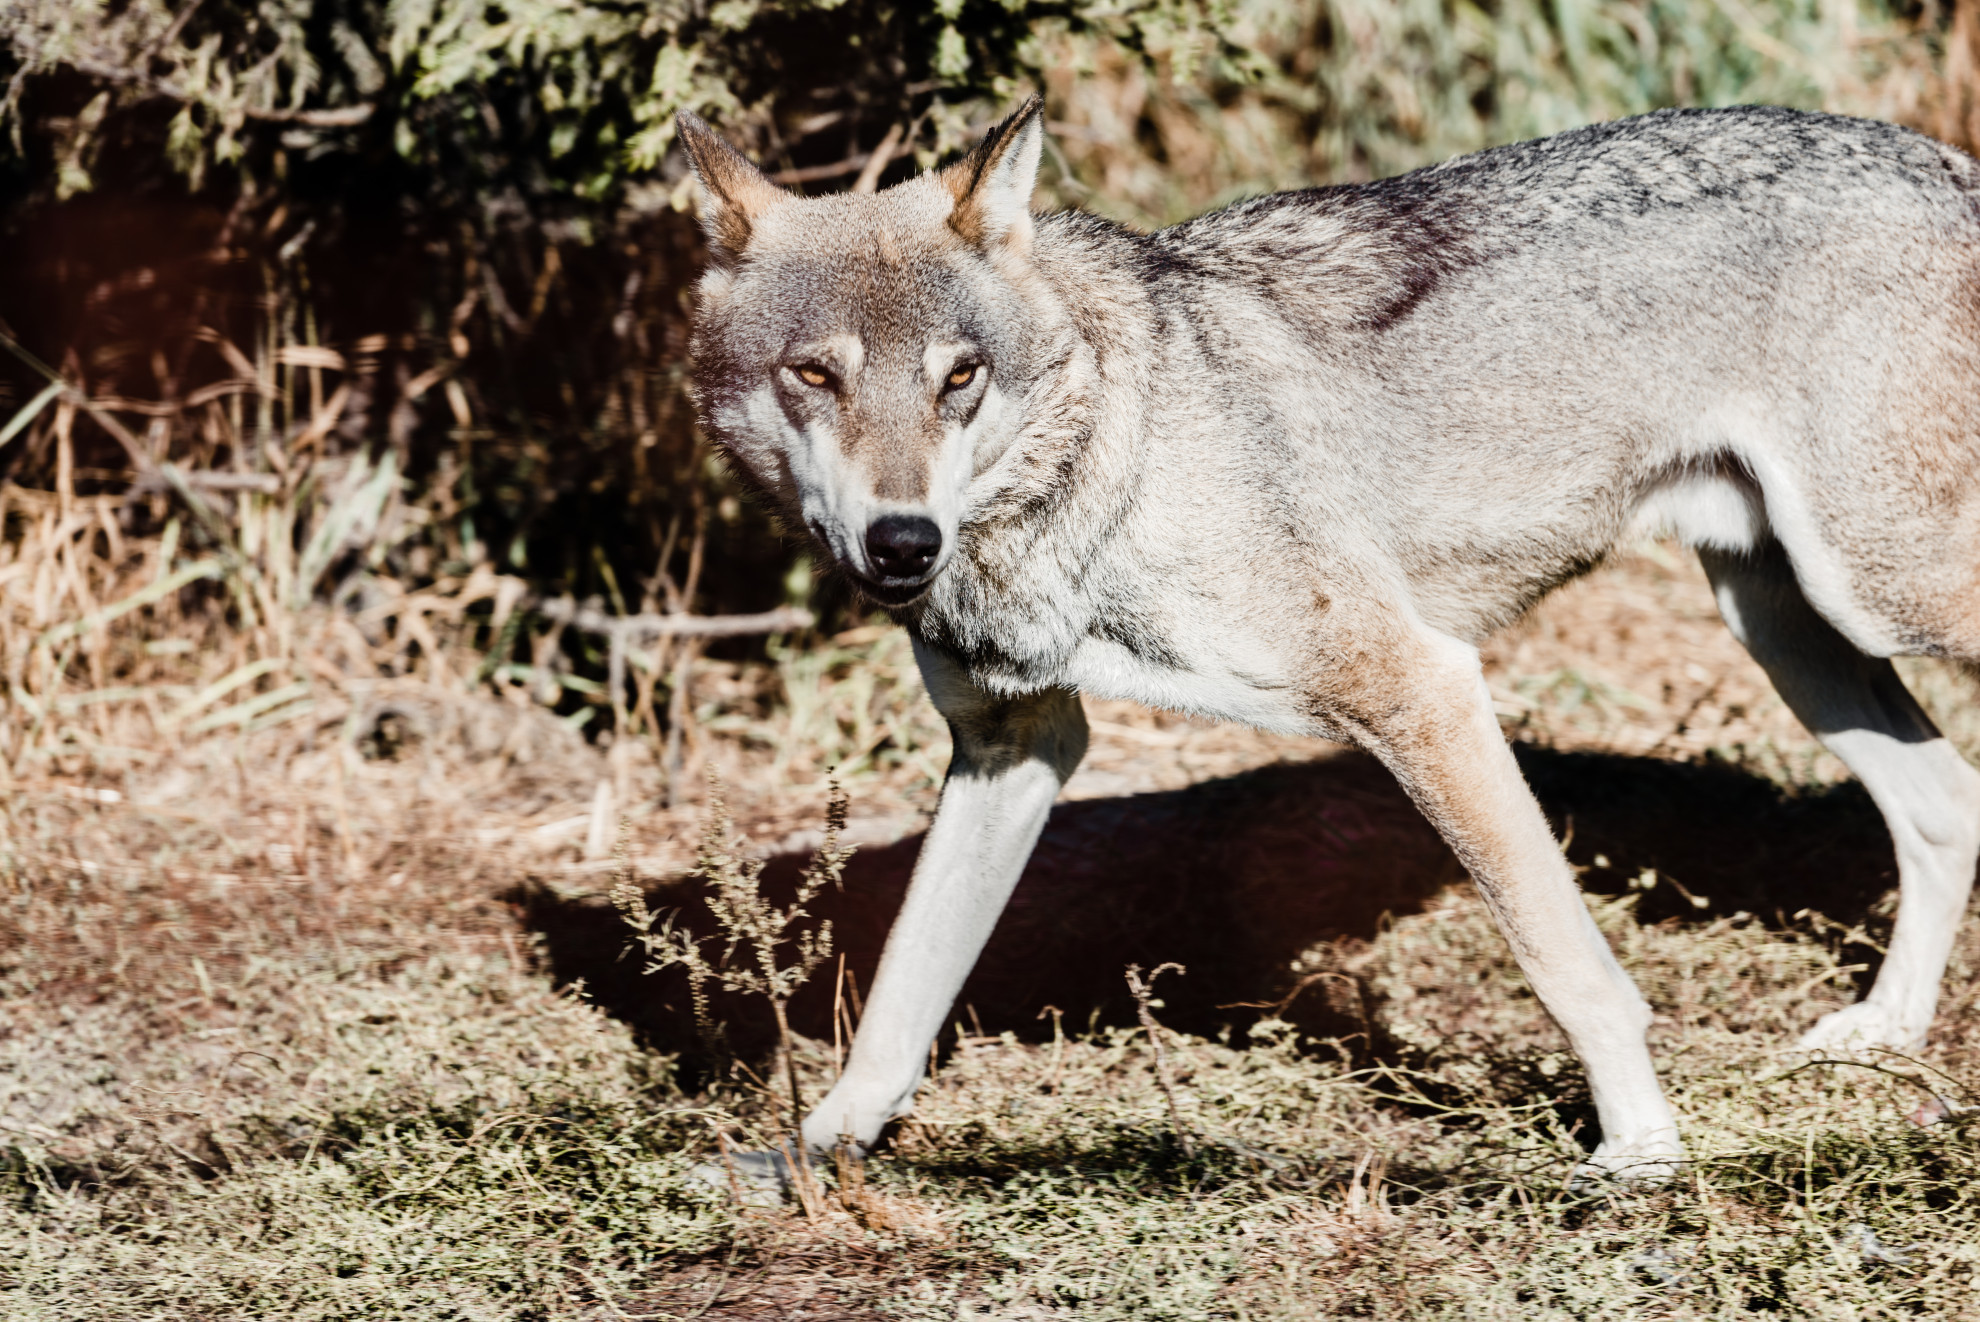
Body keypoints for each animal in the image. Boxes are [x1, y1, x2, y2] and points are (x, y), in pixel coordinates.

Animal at [677, 97, 1980, 1179]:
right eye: (814, 376)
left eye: (959, 379)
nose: (902, 542)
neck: (1108, 453)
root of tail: (1946, 162)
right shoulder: (1014, 745)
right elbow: (900, 992)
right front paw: (817, 1152)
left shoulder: (1420, 687)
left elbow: (1572, 965)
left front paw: (1643, 1158)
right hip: (1792, 623)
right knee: (1944, 804)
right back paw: (1887, 1033)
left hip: (1875, 595)